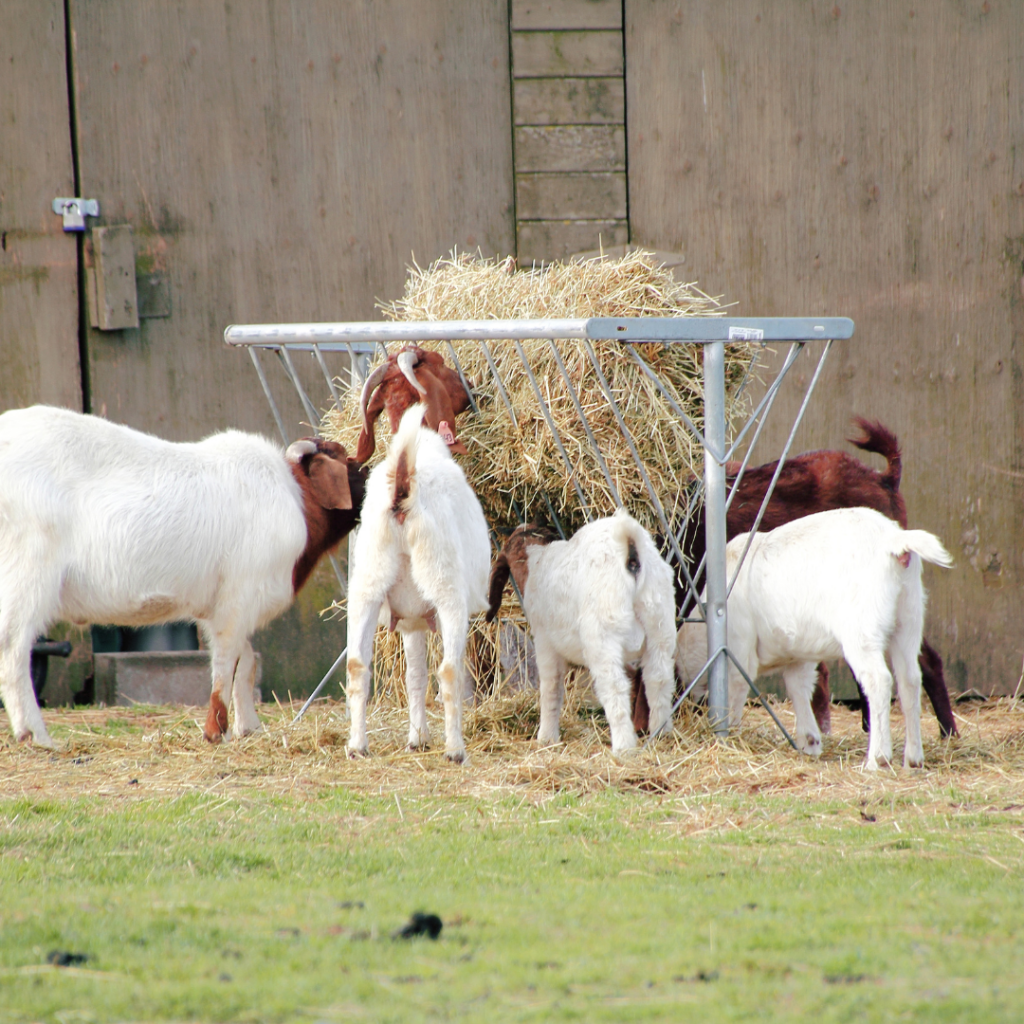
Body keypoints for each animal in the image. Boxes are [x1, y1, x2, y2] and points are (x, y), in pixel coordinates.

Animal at [0, 403, 364, 749]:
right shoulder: (238, 598)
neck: (296, 499)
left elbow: (245, 663)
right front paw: (216, 731)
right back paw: (36, 736)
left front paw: (249, 728)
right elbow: (227, 661)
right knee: (14, 650)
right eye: (342, 458)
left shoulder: (219, 607)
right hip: (27, 576)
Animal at [346, 401, 489, 761]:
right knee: (450, 671)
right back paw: (455, 750)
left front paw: (417, 738)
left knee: (357, 666)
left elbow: (415, 677)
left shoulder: (411, 622)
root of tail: (402, 489)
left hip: (367, 583)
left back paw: (357, 745)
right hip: (445, 586)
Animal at [487, 509, 679, 753]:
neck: (536, 558)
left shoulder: (545, 642)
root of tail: (629, 543)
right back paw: (661, 735)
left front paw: (546, 737)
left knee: (615, 687)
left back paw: (623, 747)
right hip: (660, 625)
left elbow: (551, 688)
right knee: (659, 680)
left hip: (603, 637)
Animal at [675, 505, 954, 770]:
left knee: (879, 680)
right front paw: (809, 741)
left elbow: (736, 689)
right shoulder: (797, 654)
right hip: (908, 619)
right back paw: (913, 759)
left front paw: (730, 734)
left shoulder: (739, 648)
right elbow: (798, 687)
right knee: (910, 680)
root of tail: (894, 540)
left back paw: (878, 759)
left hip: (862, 627)